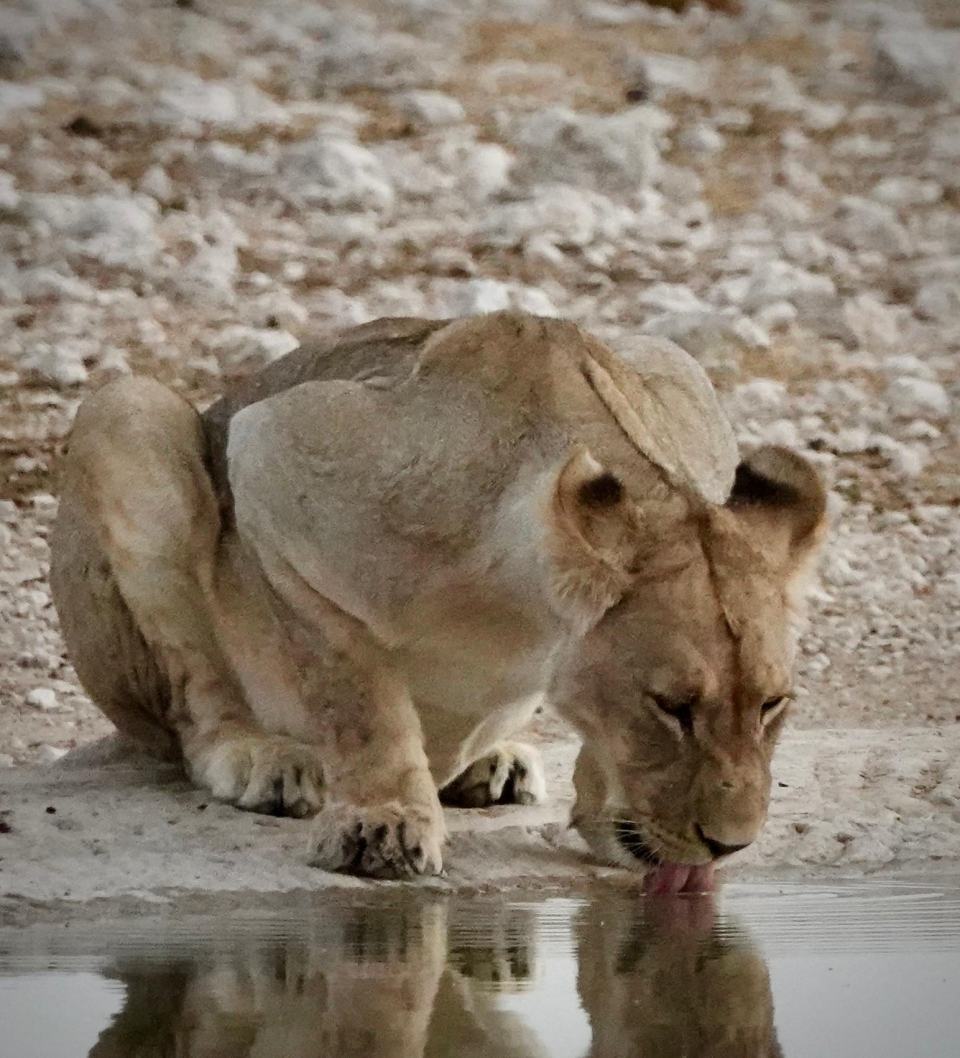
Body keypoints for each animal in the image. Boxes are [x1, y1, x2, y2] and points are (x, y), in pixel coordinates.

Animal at [49, 311, 827, 886]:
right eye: (671, 707)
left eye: (772, 704)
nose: (730, 846)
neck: (523, 614)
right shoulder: (275, 453)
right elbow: (355, 694)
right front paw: (382, 826)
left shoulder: (677, 372)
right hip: (128, 412)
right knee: (193, 706)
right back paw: (260, 758)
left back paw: (493, 765)